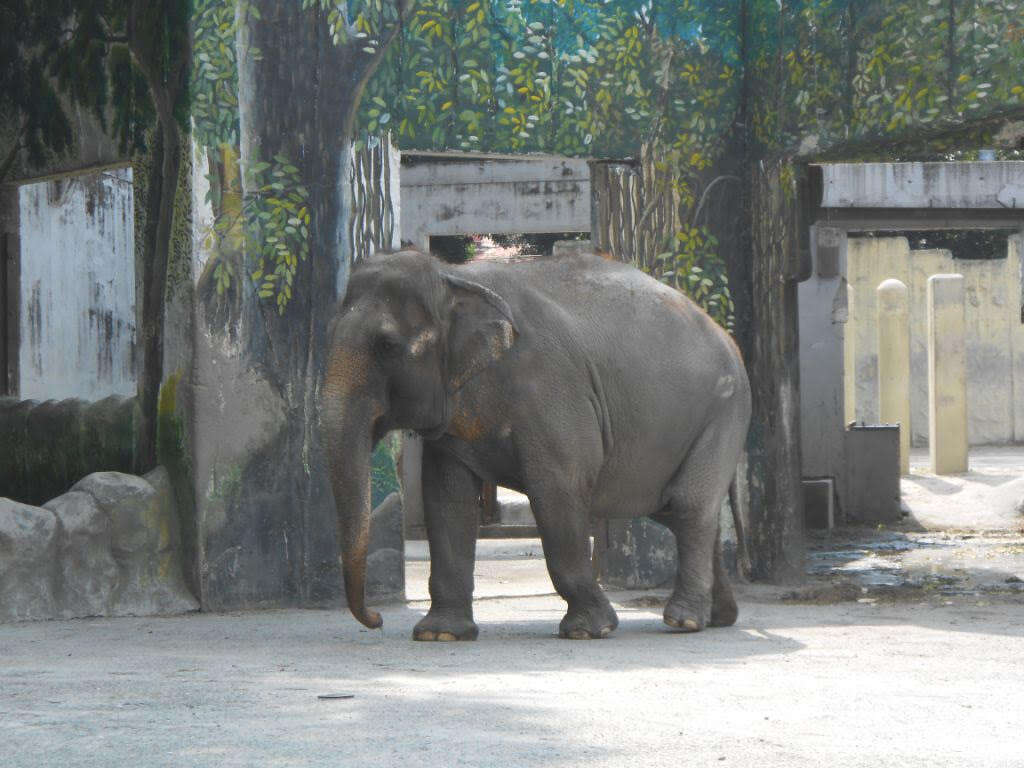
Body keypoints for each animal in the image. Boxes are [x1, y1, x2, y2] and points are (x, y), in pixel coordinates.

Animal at [321, 247, 753, 643]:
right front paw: (439, 634)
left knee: (687, 504)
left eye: (386, 346)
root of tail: (726, 336)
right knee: (676, 510)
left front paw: (588, 631)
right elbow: (446, 499)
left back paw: (684, 622)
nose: (376, 618)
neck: (454, 278)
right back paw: (719, 618)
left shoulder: (551, 390)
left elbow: (557, 490)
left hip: (724, 411)